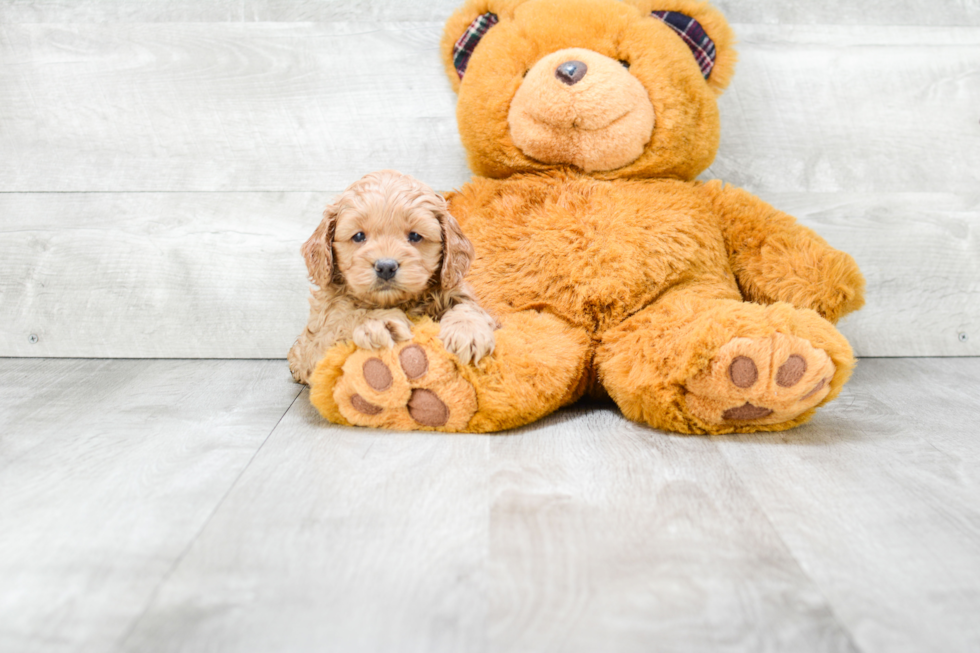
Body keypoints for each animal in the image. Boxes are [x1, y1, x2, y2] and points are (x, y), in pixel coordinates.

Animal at [286, 168, 498, 384]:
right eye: (359, 236)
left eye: (415, 236)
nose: (386, 267)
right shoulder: (313, 347)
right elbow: (346, 318)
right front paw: (380, 322)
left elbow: (468, 307)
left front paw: (467, 331)